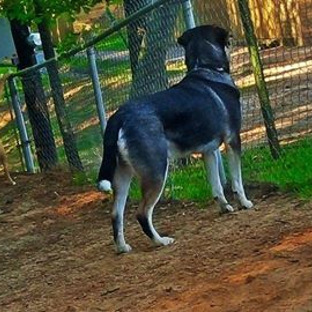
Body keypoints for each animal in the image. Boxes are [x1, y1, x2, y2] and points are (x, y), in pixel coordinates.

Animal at [97, 24, 254, 254]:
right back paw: (160, 241)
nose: (233, 37)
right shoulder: (233, 140)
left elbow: (216, 185)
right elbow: (237, 181)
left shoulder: (209, 151)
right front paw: (245, 203)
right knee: (142, 213)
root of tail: (120, 116)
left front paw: (225, 207)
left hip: (123, 175)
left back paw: (123, 247)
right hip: (156, 171)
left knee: (116, 214)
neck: (206, 68)